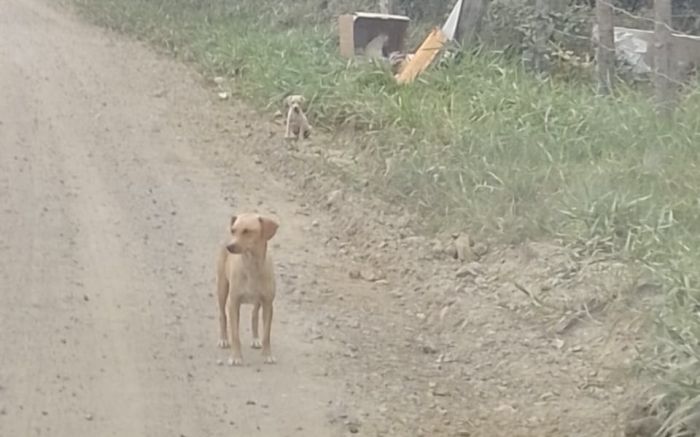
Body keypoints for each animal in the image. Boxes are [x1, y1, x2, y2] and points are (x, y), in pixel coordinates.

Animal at [216, 211, 278, 364]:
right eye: (234, 231)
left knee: (254, 315)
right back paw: (223, 339)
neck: (251, 266)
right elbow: (235, 334)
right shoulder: (234, 303)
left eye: (247, 231)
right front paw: (236, 356)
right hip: (222, 288)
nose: (229, 246)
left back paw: (255, 339)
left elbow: (266, 333)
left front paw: (267, 354)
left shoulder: (268, 304)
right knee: (222, 315)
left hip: (257, 301)